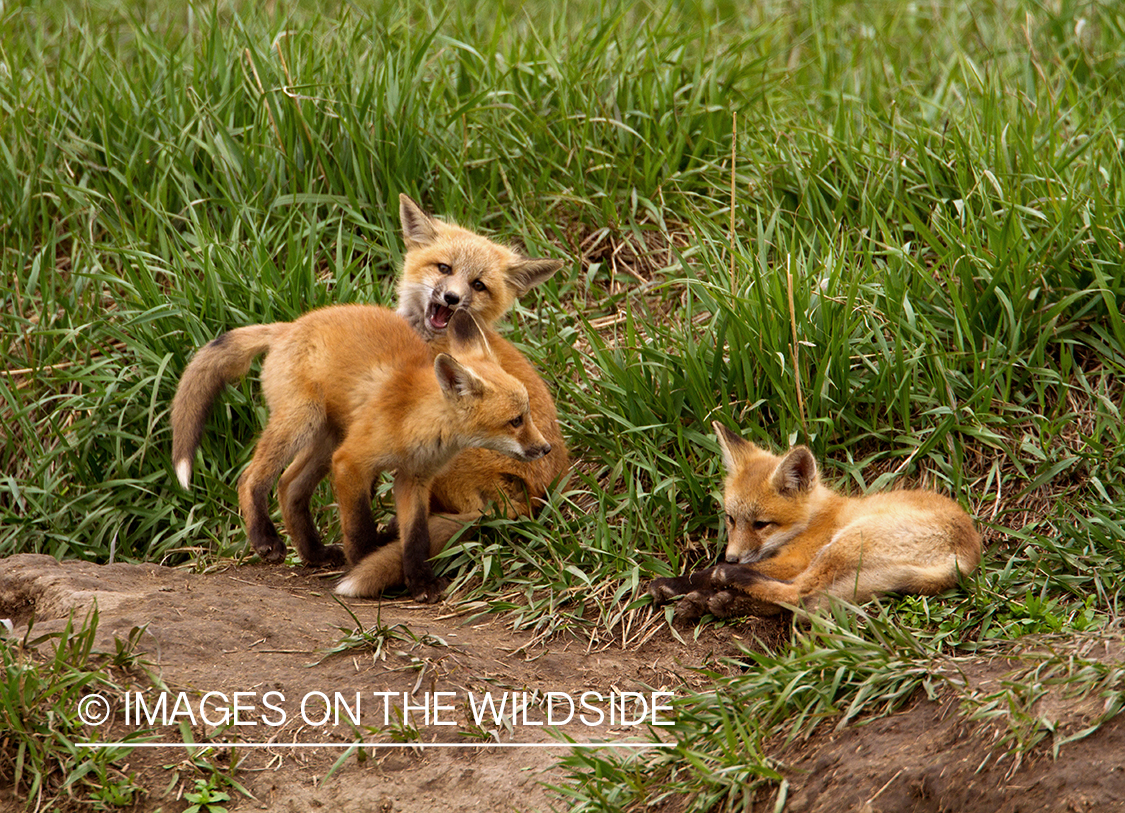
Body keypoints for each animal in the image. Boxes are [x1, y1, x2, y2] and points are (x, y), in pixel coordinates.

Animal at [170, 305, 551, 603]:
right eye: (516, 421)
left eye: (528, 414)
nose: (545, 448)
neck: (415, 419)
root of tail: (289, 326)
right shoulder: (351, 462)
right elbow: (359, 526)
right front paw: (366, 565)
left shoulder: (414, 479)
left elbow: (417, 538)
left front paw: (419, 582)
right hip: (303, 424)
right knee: (251, 477)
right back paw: (266, 539)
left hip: (327, 440)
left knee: (290, 486)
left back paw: (314, 553)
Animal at [650, 421, 982, 619]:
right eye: (731, 519)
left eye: (761, 524)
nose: (732, 558)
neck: (814, 520)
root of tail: (967, 556)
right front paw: (699, 593)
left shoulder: (796, 559)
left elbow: (708, 572)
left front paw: (676, 583)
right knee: (797, 597)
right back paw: (722, 600)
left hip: (845, 542)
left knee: (797, 592)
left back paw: (730, 584)